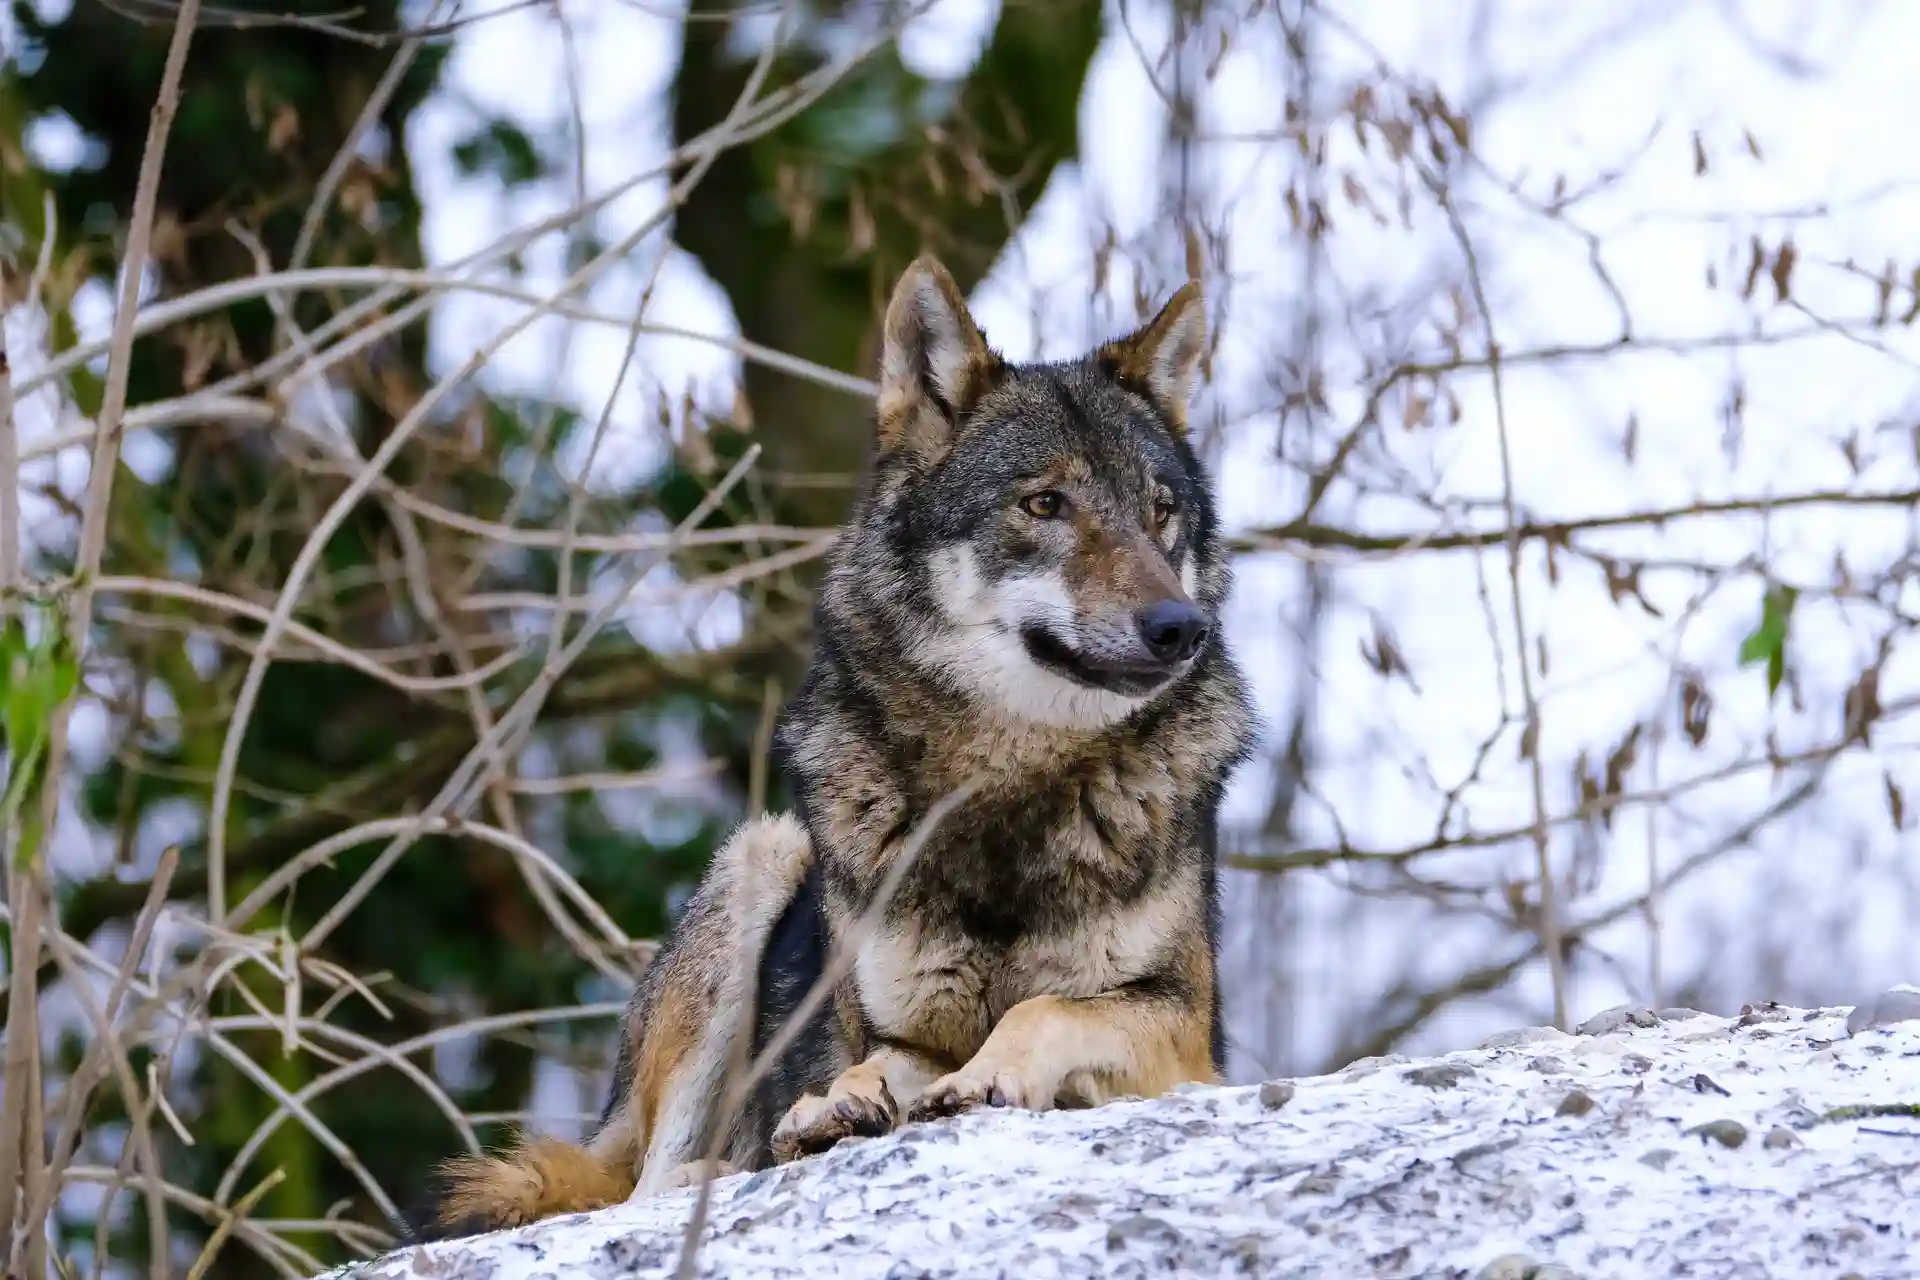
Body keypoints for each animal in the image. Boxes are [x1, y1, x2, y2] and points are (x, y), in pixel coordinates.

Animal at [416, 253, 1259, 1243]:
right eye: (1044, 504)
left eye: (1161, 513)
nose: (1180, 627)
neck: (1007, 793)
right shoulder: (894, 1030)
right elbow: (868, 1063)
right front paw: (834, 1106)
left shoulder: (1186, 1036)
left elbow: (1044, 1011)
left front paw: (981, 1077)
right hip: (763, 855)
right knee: (647, 1185)